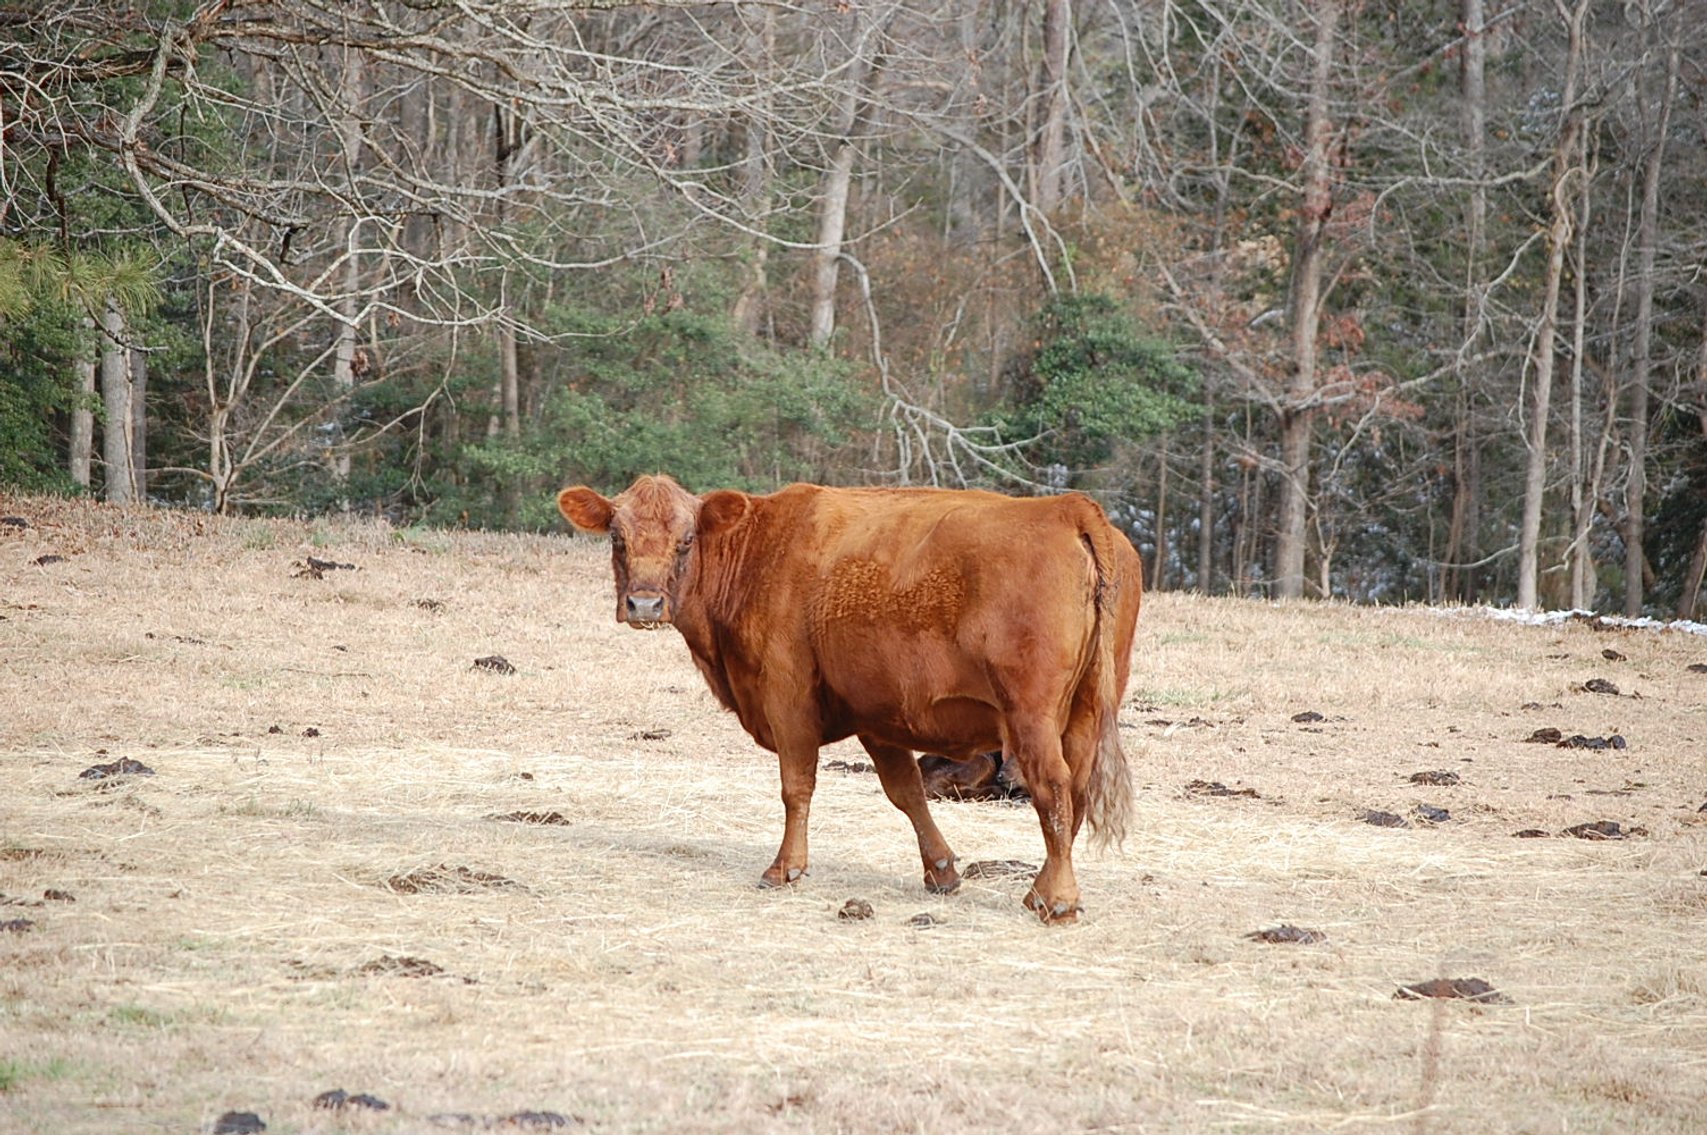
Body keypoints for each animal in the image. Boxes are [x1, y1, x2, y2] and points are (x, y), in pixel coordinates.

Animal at [557, 474, 1143, 922]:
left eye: (686, 539)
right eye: (617, 537)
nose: (644, 604)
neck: (762, 553)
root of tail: (1067, 508)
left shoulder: (787, 694)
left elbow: (797, 787)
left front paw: (786, 867)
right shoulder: (876, 715)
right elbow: (906, 793)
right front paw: (941, 871)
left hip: (1032, 715)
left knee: (1054, 788)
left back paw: (1056, 900)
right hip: (1088, 709)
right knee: (1077, 793)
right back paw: (1044, 888)